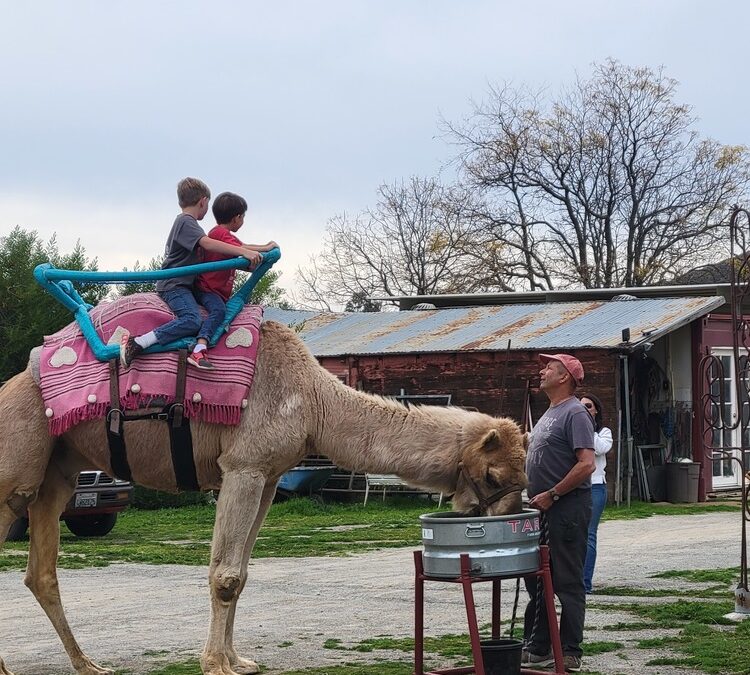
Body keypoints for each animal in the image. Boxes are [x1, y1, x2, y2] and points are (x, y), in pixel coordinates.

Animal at [0, 318, 527, 675]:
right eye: (495, 475)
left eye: (520, 478)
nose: (514, 513)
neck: (315, 402)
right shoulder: (243, 467)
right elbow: (226, 574)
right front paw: (215, 664)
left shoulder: (270, 477)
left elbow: (244, 573)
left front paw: (239, 659)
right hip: (15, 469)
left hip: (57, 472)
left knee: (41, 571)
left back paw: (87, 663)